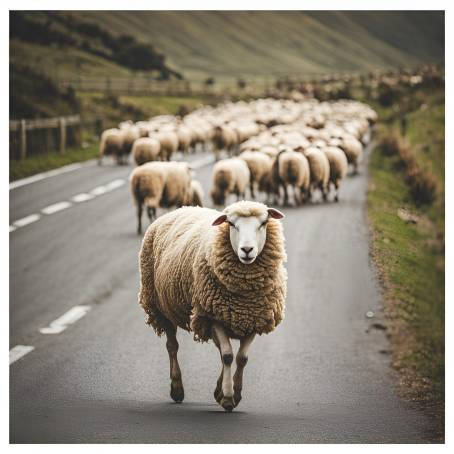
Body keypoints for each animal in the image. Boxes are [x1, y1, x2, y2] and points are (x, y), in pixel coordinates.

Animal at [138, 200, 288, 412]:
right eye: (231, 224)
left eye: (264, 223)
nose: (247, 250)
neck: (243, 295)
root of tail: (181, 208)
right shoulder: (212, 316)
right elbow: (227, 356)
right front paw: (228, 398)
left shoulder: (253, 319)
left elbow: (241, 358)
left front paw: (233, 393)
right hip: (160, 306)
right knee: (172, 346)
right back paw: (177, 388)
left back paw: (216, 389)